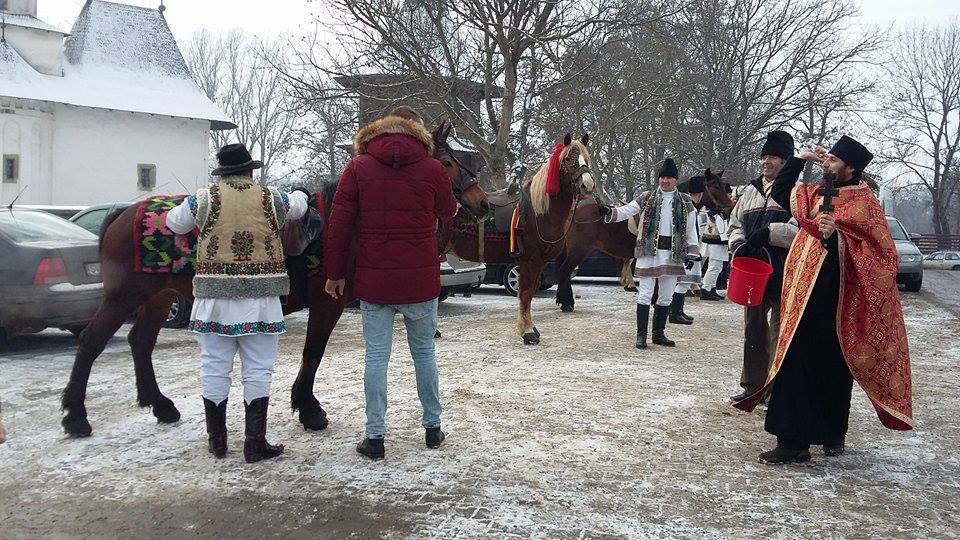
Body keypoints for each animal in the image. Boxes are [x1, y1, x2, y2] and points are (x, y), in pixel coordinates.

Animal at [62, 142, 488, 434]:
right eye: (447, 162)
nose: (481, 202)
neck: (343, 225)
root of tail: (125, 213)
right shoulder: (327, 303)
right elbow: (313, 353)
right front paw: (310, 409)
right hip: (124, 297)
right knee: (92, 342)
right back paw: (76, 416)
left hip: (158, 298)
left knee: (140, 342)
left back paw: (161, 406)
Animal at [436, 131, 592, 344]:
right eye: (569, 159)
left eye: (587, 158)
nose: (587, 185)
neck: (538, 212)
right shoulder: (529, 260)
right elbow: (525, 294)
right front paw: (527, 331)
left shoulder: (538, 262)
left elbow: (530, 293)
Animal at [552, 169, 732, 312]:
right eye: (716, 186)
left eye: (723, 185)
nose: (729, 208)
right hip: (579, 250)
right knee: (565, 271)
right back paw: (567, 303)